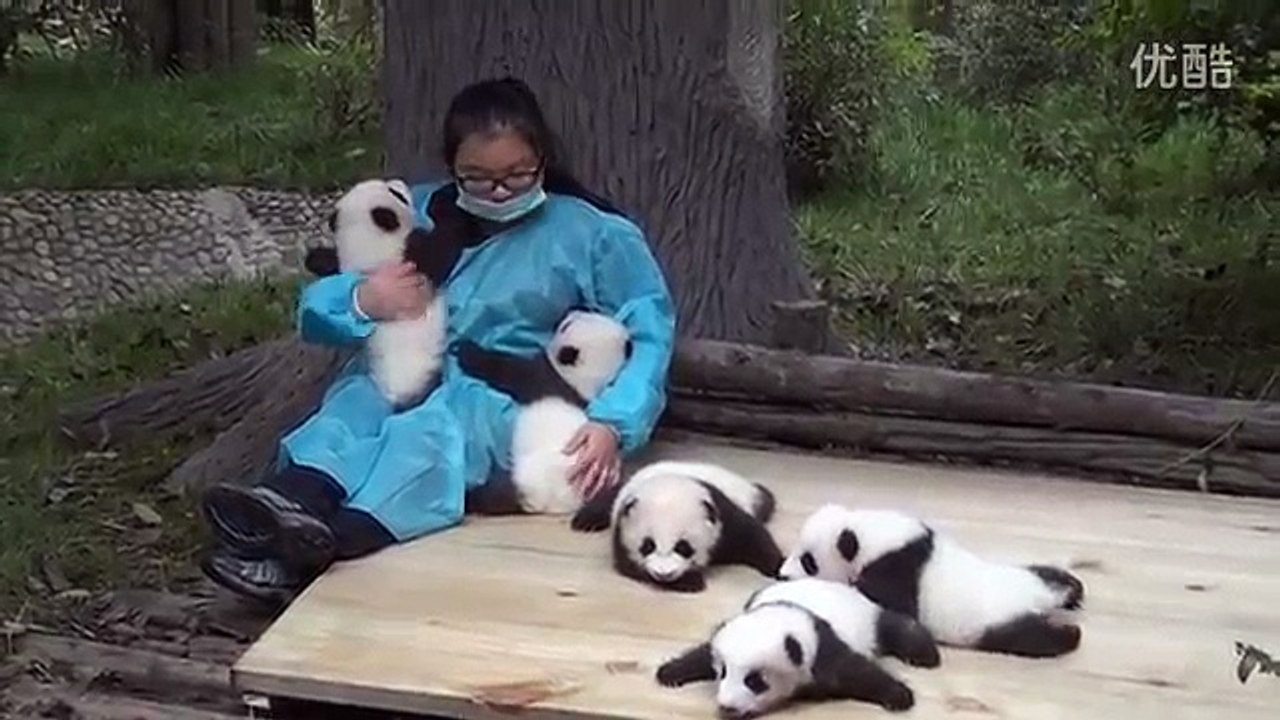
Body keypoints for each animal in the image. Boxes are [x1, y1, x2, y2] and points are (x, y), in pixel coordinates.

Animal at [302, 178, 457, 410]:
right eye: (395, 193)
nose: (398, 182)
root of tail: (393, 395)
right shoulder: (412, 265)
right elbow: (439, 250)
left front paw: (317, 258)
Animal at [456, 310, 634, 516]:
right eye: (591, 311)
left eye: (566, 325)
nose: (570, 310)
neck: (584, 383)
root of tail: (557, 503)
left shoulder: (542, 377)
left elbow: (507, 370)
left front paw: (465, 350)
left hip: (527, 477)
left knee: (496, 493)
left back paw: (470, 497)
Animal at [568, 460, 784, 593]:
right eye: (648, 546)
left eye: (683, 547)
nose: (664, 574)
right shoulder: (622, 528)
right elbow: (632, 567)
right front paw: (691, 581)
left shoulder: (723, 516)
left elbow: (753, 536)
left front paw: (780, 567)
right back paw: (584, 521)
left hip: (751, 496)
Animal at [655, 577, 939, 717]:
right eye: (723, 672)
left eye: (754, 681)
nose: (728, 707)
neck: (786, 613)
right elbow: (703, 652)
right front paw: (669, 672)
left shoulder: (822, 649)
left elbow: (858, 671)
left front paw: (899, 697)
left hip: (870, 619)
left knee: (899, 629)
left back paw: (927, 656)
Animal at [777, 504, 1085, 658]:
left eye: (809, 561)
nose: (782, 574)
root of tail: (1036, 598)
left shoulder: (893, 570)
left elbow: (893, 606)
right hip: (1030, 578)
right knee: (1050, 576)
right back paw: (1073, 591)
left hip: (992, 621)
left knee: (1031, 637)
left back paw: (1068, 634)